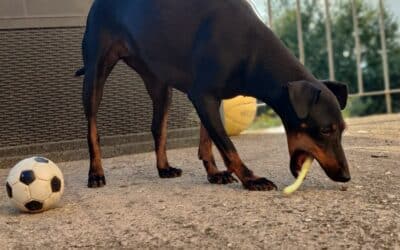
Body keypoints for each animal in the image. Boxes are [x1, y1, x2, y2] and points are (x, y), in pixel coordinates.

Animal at [75, 0, 350, 189]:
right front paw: (251, 178)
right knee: (92, 129)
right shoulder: (203, 96)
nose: (346, 176)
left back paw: (164, 168)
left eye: (343, 130)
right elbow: (227, 145)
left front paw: (214, 173)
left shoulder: (211, 101)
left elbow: (207, 141)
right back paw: (96, 173)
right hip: (95, 74)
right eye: (325, 130)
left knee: (158, 128)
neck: (250, 50)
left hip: (160, 85)